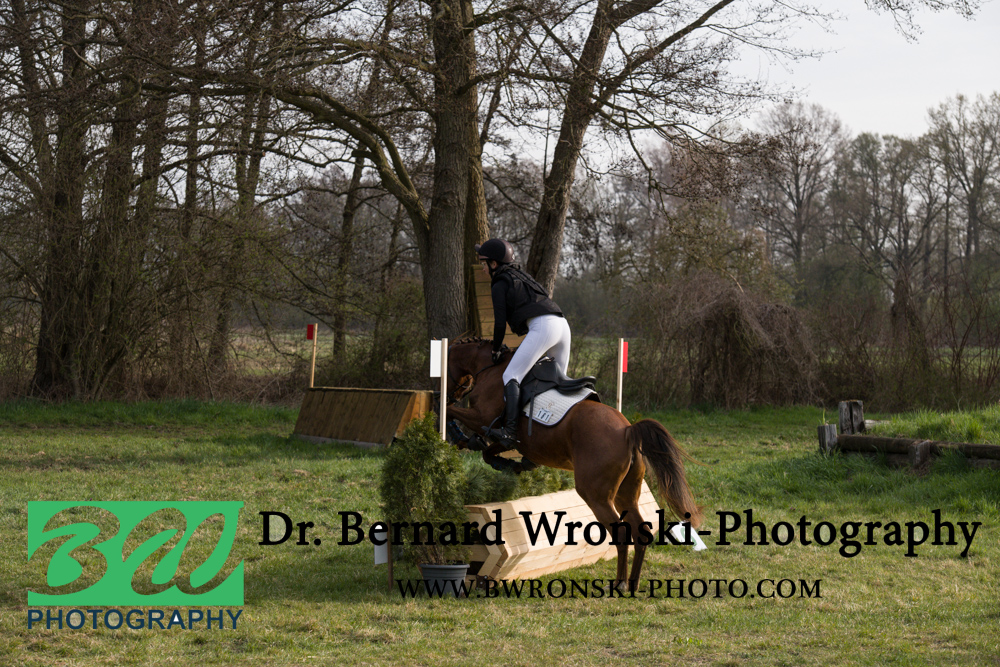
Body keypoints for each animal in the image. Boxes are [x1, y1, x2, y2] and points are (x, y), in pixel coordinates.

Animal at [444, 337, 702, 590]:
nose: (448, 394)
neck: (490, 366)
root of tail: (628, 430)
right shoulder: (509, 437)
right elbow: (490, 450)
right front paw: (509, 464)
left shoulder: (482, 417)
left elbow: (452, 413)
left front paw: (459, 435)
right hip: (626, 494)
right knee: (641, 532)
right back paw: (633, 584)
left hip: (595, 495)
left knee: (620, 534)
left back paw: (619, 584)